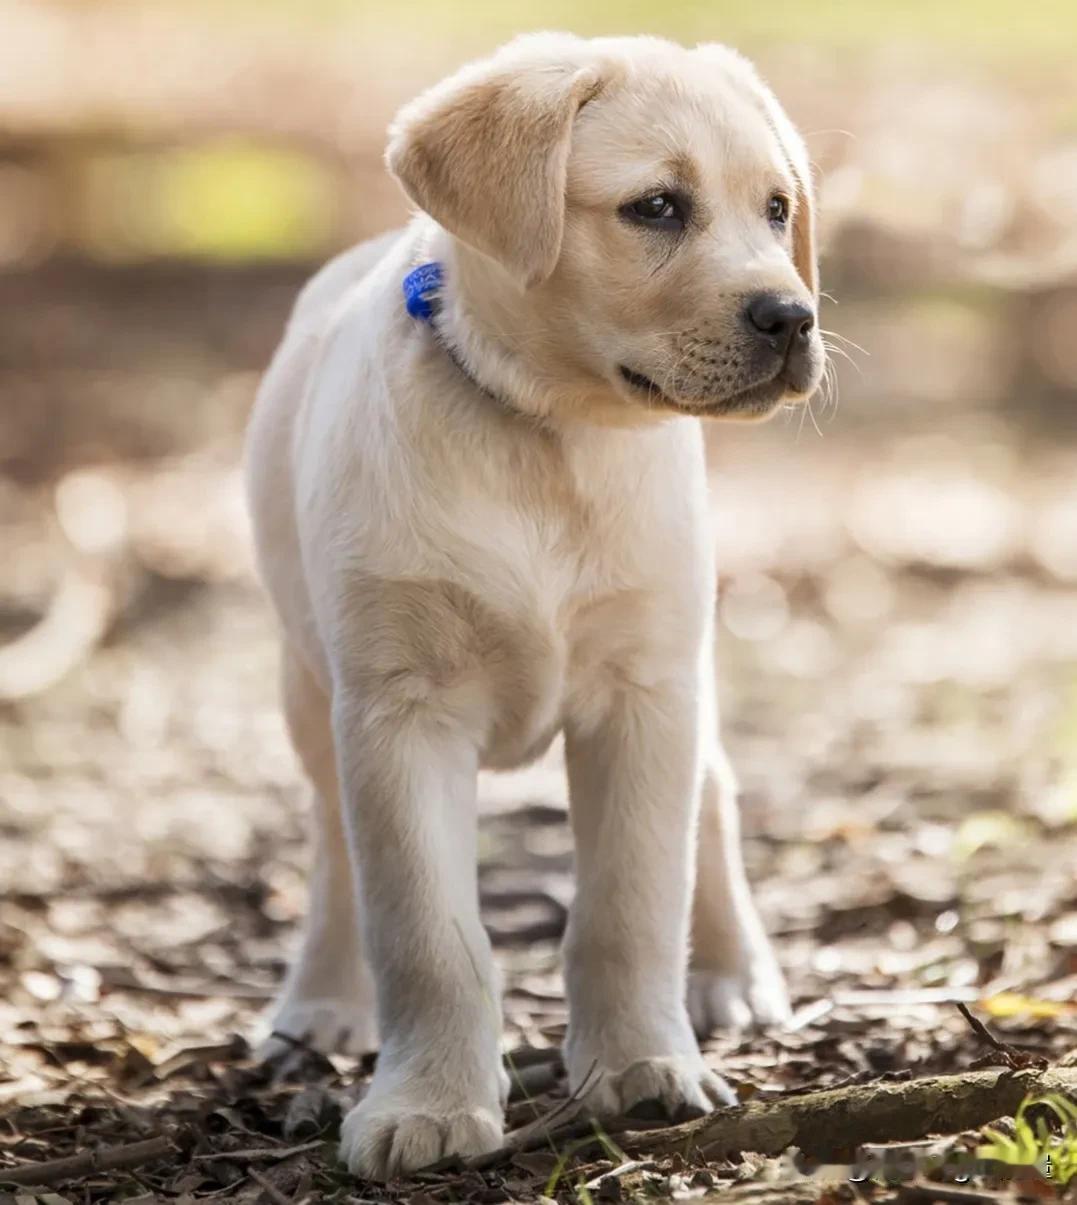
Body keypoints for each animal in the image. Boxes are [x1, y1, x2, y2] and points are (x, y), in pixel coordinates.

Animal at [246, 30, 828, 1176]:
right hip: (307, 682)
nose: (794, 315)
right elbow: (425, 930)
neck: (550, 432)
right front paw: (423, 1104)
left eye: (778, 209)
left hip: (687, 665)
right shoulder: (398, 708)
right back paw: (321, 1002)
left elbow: (629, 902)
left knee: (715, 793)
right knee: (333, 843)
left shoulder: (644, 690)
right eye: (657, 207)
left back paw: (732, 972)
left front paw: (645, 1067)